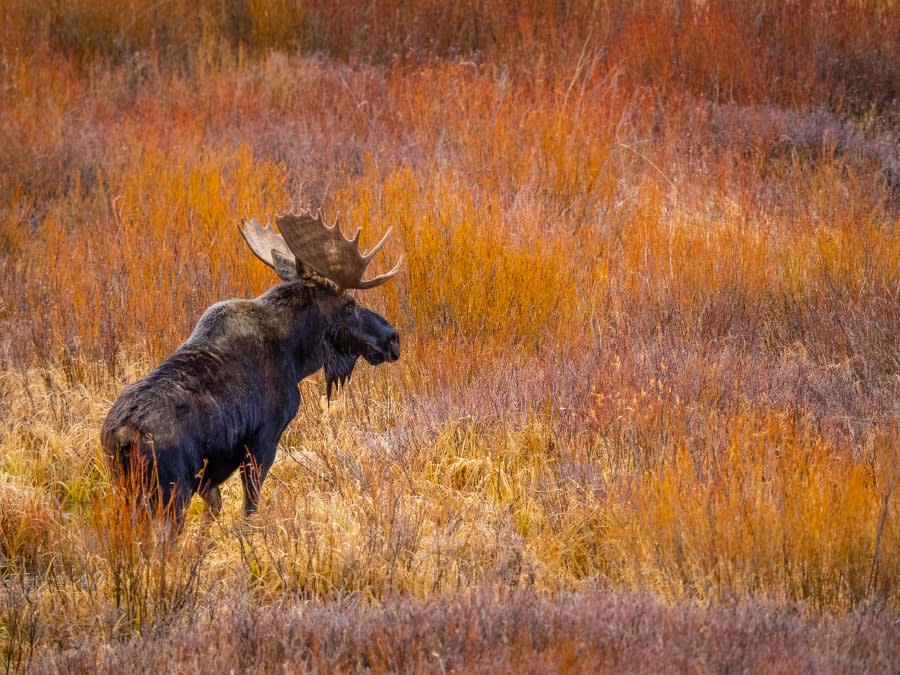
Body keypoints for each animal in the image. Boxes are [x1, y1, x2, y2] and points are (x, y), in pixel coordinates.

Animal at [99, 210, 404, 524]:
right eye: (349, 303)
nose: (392, 337)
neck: (297, 357)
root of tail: (121, 437)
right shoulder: (264, 439)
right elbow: (249, 509)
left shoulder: (210, 475)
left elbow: (214, 510)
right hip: (171, 493)